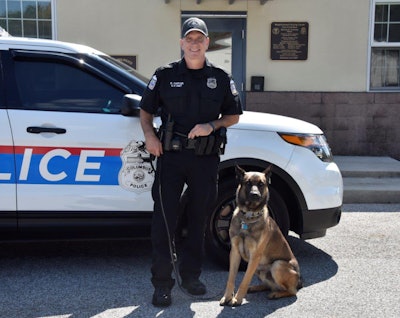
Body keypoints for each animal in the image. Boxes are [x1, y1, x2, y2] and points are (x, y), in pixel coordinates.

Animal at [220, 164, 302, 306]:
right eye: (248, 183)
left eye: (261, 184)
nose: (255, 195)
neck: (248, 217)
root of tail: (299, 279)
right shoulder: (235, 252)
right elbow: (231, 278)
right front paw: (227, 297)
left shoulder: (254, 256)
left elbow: (245, 279)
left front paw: (238, 299)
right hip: (259, 269)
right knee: (270, 285)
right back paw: (256, 288)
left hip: (277, 265)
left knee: (291, 291)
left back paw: (276, 294)